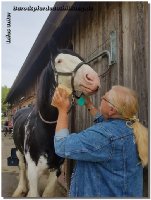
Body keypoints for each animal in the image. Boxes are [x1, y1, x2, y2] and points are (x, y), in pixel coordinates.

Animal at [12, 42, 101, 197]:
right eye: (59, 61)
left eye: (80, 58)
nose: (93, 79)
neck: (45, 129)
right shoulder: (33, 172)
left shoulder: (56, 169)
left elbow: (48, 192)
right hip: (18, 151)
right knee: (22, 167)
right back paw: (21, 188)